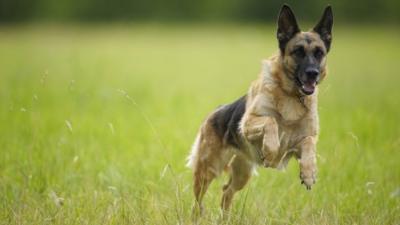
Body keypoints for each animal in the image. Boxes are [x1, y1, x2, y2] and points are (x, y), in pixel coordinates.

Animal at [188, 4, 334, 214]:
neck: (291, 96)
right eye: (298, 51)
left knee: (226, 192)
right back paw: (198, 215)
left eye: (319, 52)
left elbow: (309, 144)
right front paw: (270, 152)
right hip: (208, 170)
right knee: (197, 201)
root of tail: (214, 112)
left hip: (242, 174)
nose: (312, 73)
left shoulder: (301, 141)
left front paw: (308, 173)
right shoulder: (247, 124)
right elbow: (271, 121)